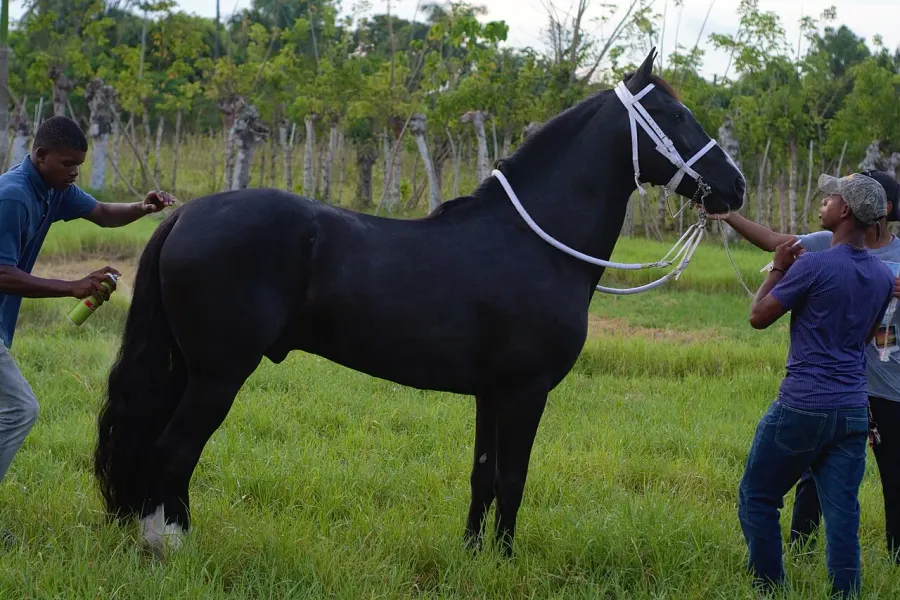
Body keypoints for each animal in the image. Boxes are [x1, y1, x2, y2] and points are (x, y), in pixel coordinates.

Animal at [93, 48, 745, 558]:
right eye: (674, 115)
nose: (735, 186)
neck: (534, 241)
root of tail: (185, 214)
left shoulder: (493, 393)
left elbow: (484, 476)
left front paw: (475, 556)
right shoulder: (527, 390)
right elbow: (514, 478)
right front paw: (505, 561)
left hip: (190, 369)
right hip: (218, 374)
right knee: (175, 450)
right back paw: (168, 545)